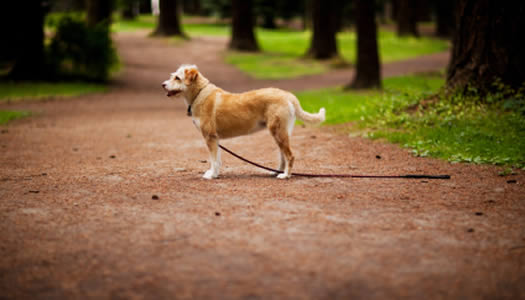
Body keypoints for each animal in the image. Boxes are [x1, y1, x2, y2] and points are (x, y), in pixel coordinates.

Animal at [161, 64, 324, 179]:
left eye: (177, 78)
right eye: (172, 76)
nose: (163, 84)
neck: (200, 94)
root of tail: (288, 95)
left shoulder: (210, 137)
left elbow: (213, 159)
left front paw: (212, 175)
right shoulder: (215, 139)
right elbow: (217, 159)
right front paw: (214, 173)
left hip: (278, 132)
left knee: (290, 155)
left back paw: (285, 175)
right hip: (280, 133)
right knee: (283, 156)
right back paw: (277, 172)